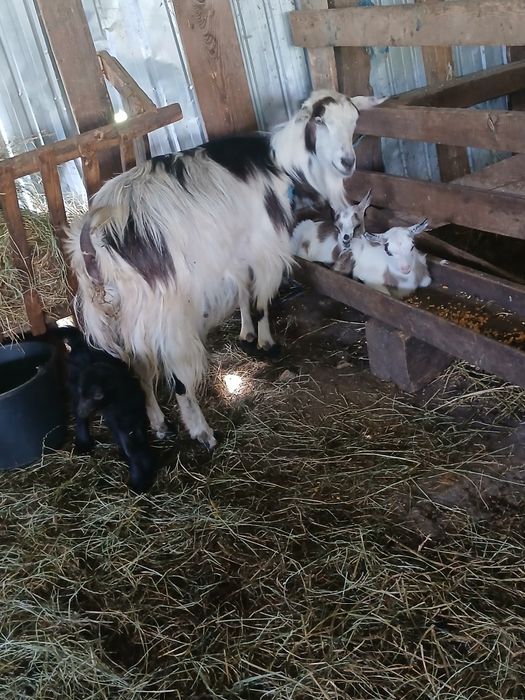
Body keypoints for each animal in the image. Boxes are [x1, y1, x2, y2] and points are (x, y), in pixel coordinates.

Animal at [56, 326, 158, 493]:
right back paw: (83, 442)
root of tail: (79, 341)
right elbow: (130, 448)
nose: (82, 409)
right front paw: (139, 480)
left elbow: (138, 442)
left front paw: (148, 466)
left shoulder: (137, 416)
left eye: (97, 395)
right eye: (85, 393)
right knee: (80, 418)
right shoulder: (116, 421)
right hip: (73, 383)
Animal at [66, 89, 384, 449]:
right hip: (166, 309)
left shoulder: (236, 250)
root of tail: (91, 238)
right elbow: (261, 301)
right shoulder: (265, 247)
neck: (279, 165)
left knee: (139, 363)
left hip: (130, 312)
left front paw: (247, 334)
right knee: (174, 372)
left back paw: (159, 424)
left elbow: (244, 291)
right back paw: (201, 431)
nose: (347, 162)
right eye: (320, 121)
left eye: (355, 120)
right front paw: (267, 344)